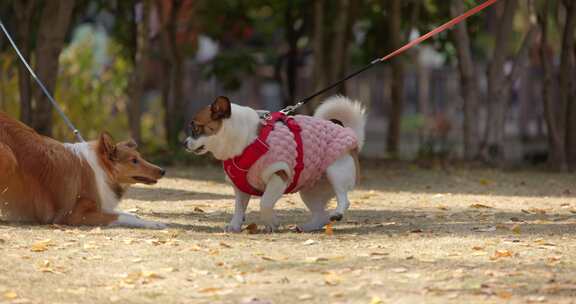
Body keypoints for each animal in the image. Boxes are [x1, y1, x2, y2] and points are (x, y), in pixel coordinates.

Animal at [184, 96, 364, 232]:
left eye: (196, 128)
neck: (248, 140)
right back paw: (307, 227)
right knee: (321, 215)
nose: (184, 143)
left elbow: (265, 203)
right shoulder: (241, 188)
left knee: (343, 198)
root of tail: (350, 133)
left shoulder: (278, 175)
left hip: (336, 171)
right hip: (310, 191)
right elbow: (239, 208)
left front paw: (271, 223)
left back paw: (337, 213)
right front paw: (235, 225)